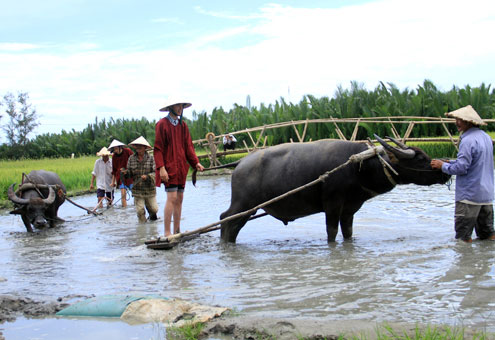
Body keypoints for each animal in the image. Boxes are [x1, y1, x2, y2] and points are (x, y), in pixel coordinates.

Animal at [219, 136, 452, 244]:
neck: (359, 166)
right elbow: (331, 232)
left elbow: (348, 232)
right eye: (420, 158)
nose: (444, 172)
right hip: (244, 204)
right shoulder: (332, 204)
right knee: (226, 219)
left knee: (231, 224)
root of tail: (241, 162)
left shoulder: (349, 209)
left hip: (249, 208)